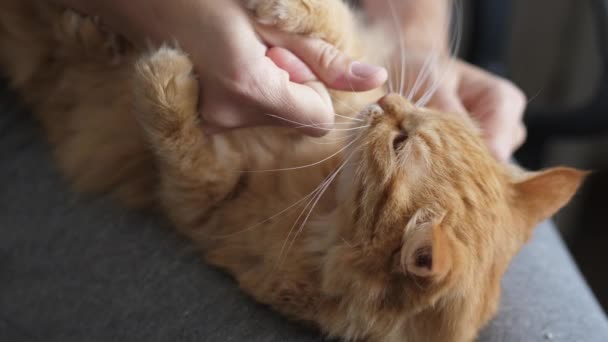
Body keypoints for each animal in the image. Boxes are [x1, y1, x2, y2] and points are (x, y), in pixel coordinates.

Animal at [0, 0, 588, 340]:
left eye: (400, 142)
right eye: (426, 121)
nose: (391, 103)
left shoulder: (202, 202)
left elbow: (181, 145)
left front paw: (162, 77)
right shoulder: (355, 75)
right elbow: (337, 33)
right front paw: (288, 7)